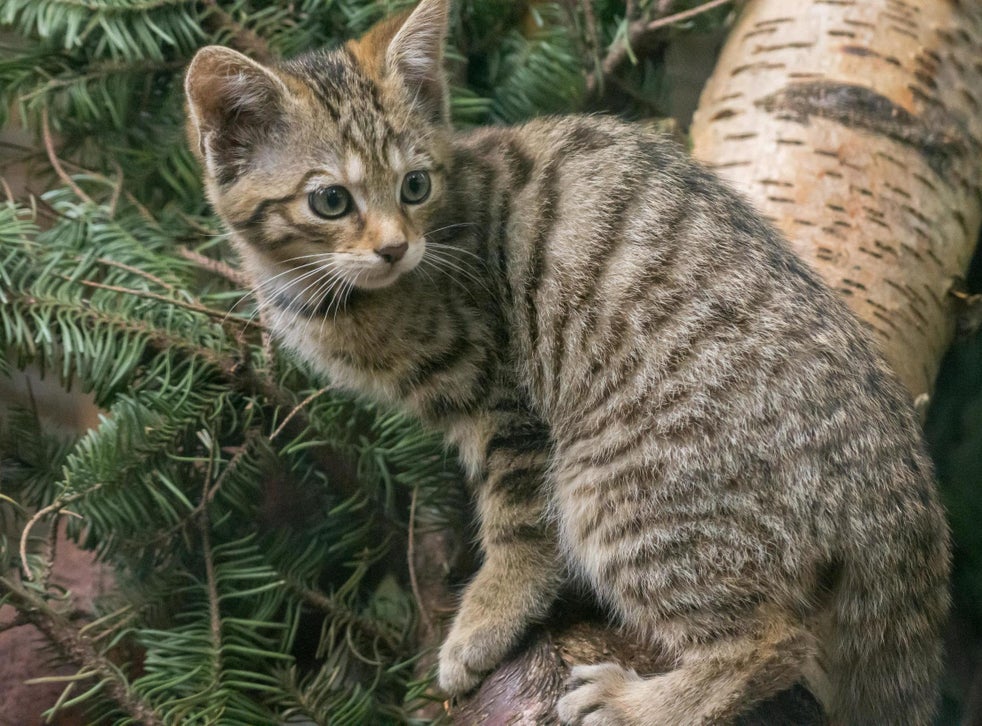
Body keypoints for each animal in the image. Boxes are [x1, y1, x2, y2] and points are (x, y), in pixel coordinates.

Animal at [184, 2, 952, 724]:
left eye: (414, 187)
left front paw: (485, 620)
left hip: (616, 484)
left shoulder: (502, 392)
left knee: (773, 642)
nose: (394, 247)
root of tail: (898, 482)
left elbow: (519, 522)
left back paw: (640, 704)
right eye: (331, 200)